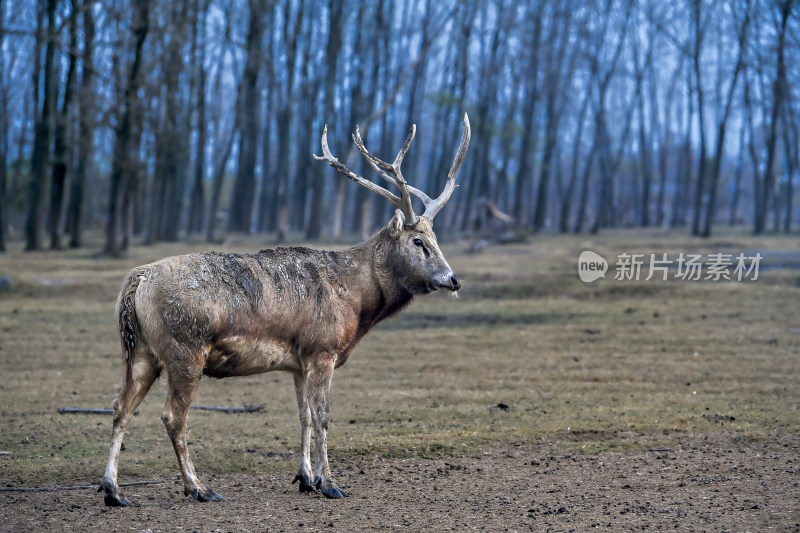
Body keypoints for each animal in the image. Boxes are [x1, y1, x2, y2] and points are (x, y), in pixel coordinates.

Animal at [102, 113, 472, 508]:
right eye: (418, 241)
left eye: (436, 239)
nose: (453, 279)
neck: (356, 303)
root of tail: (137, 281)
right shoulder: (323, 348)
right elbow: (323, 416)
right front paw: (330, 483)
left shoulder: (299, 359)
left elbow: (303, 416)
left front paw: (305, 478)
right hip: (184, 350)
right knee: (172, 416)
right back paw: (198, 488)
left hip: (142, 351)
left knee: (120, 406)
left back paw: (113, 491)